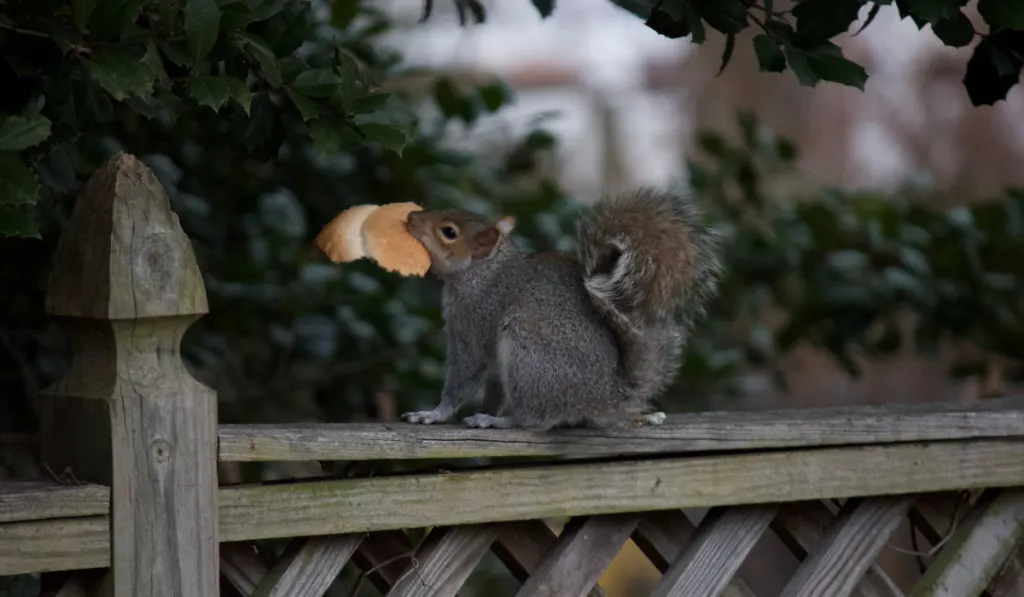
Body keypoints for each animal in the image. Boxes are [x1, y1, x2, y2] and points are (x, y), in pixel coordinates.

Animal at [397, 188, 720, 430]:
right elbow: (494, 387)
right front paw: (485, 408)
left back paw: (501, 421)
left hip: (528, 353)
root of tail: (606, 396)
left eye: (448, 232)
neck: (481, 271)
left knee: (536, 419)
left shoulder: (474, 320)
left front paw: (433, 414)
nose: (411, 216)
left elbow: (464, 374)